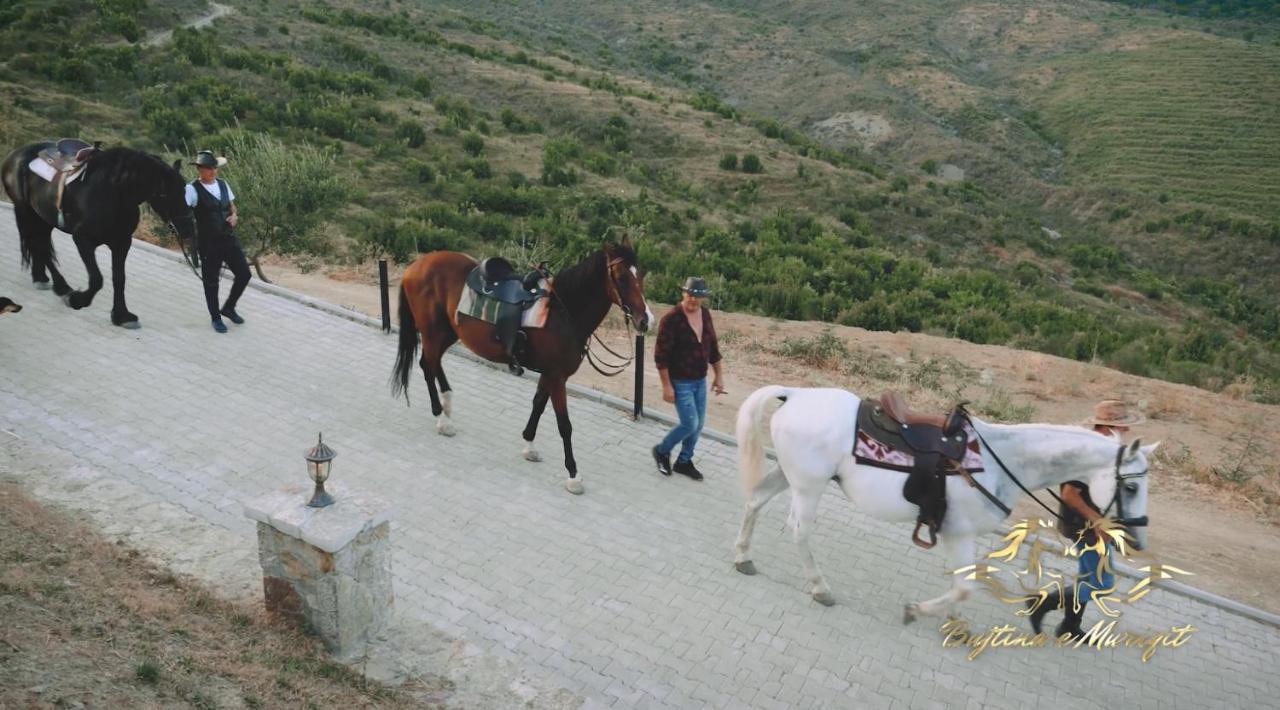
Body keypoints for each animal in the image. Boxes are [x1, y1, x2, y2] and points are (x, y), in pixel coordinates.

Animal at [1, 142, 195, 330]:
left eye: (184, 190)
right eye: (164, 194)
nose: (187, 228)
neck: (112, 193)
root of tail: (16, 154)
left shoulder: (122, 243)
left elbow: (119, 279)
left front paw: (122, 316)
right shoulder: (83, 240)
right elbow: (96, 279)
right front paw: (77, 300)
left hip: (42, 217)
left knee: (40, 244)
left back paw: (42, 278)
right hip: (26, 211)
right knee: (38, 244)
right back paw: (61, 286)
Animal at [386, 239, 650, 493]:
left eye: (641, 275)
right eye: (622, 278)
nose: (645, 320)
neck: (563, 312)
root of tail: (417, 265)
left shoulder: (550, 374)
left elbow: (538, 405)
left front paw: (529, 445)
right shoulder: (557, 377)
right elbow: (564, 425)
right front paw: (573, 475)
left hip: (448, 331)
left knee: (433, 362)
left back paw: (447, 403)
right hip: (433, 331)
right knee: (427, 364)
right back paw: (441, 418)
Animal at [732, 388, 1162, 621]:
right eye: (1131, 487)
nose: (1138, 539)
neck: (1002, 460)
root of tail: (795, 394)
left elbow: (963, 582)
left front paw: (952, 620)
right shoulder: (960, 533)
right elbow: (964, 588)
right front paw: (919, 611)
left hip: (789, 474)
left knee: (754, 501)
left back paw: (743, 557)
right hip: (809, 486)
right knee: (799, 531)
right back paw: (820, 588)